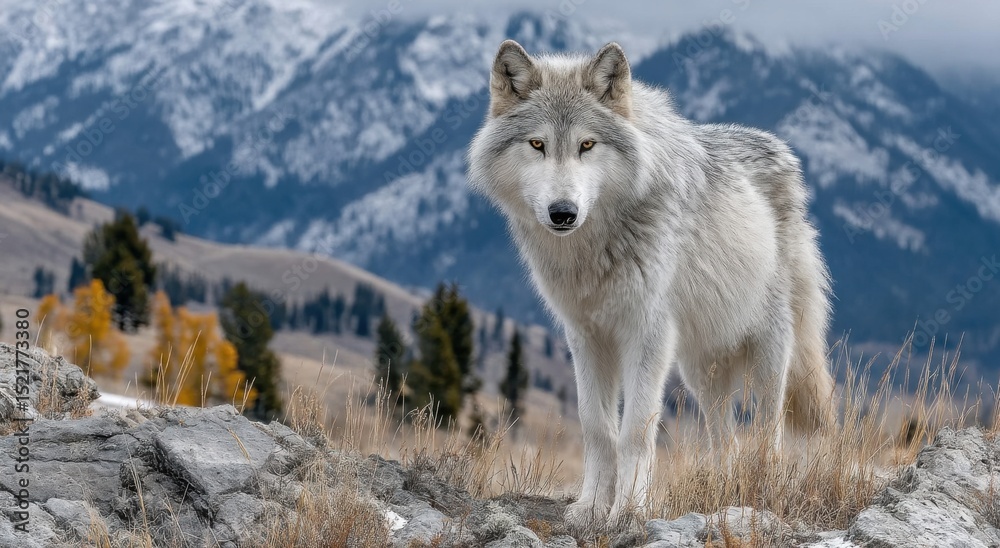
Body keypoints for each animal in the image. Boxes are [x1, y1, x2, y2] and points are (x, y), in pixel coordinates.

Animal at [467, 40, 836, 529]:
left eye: (587, 144)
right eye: (537, 144)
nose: (563, 212)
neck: (595, 247)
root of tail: (786, 153)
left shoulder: (647, 335)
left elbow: (635, 433)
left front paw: (627, 512)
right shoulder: (585, 337)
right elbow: (597, 428)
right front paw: (589, 508)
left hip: (769, 354)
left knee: (767, 430)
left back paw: (763, 490)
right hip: (701, 371)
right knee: (725, 437)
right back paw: (726, 492)